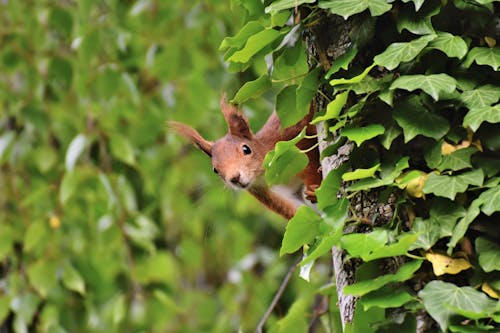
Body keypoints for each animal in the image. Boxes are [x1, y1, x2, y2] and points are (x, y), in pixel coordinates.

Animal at [168, 94, 322, 218]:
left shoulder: (299, 143)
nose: (234, 178)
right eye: (215, 170)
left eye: (246, 149)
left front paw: (315, 191)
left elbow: (313, 168)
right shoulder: (269, 194)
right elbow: (299, 213)